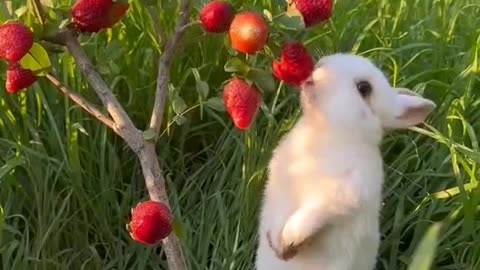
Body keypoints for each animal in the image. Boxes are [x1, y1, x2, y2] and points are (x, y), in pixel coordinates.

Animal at [256, 53, 436, 270]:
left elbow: (310, 215)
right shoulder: (281, 185)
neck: (327, 132)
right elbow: (280, 215)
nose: (320, 65)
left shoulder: (343, 194)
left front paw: (288, 243)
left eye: (364, 88)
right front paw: (277, 243)